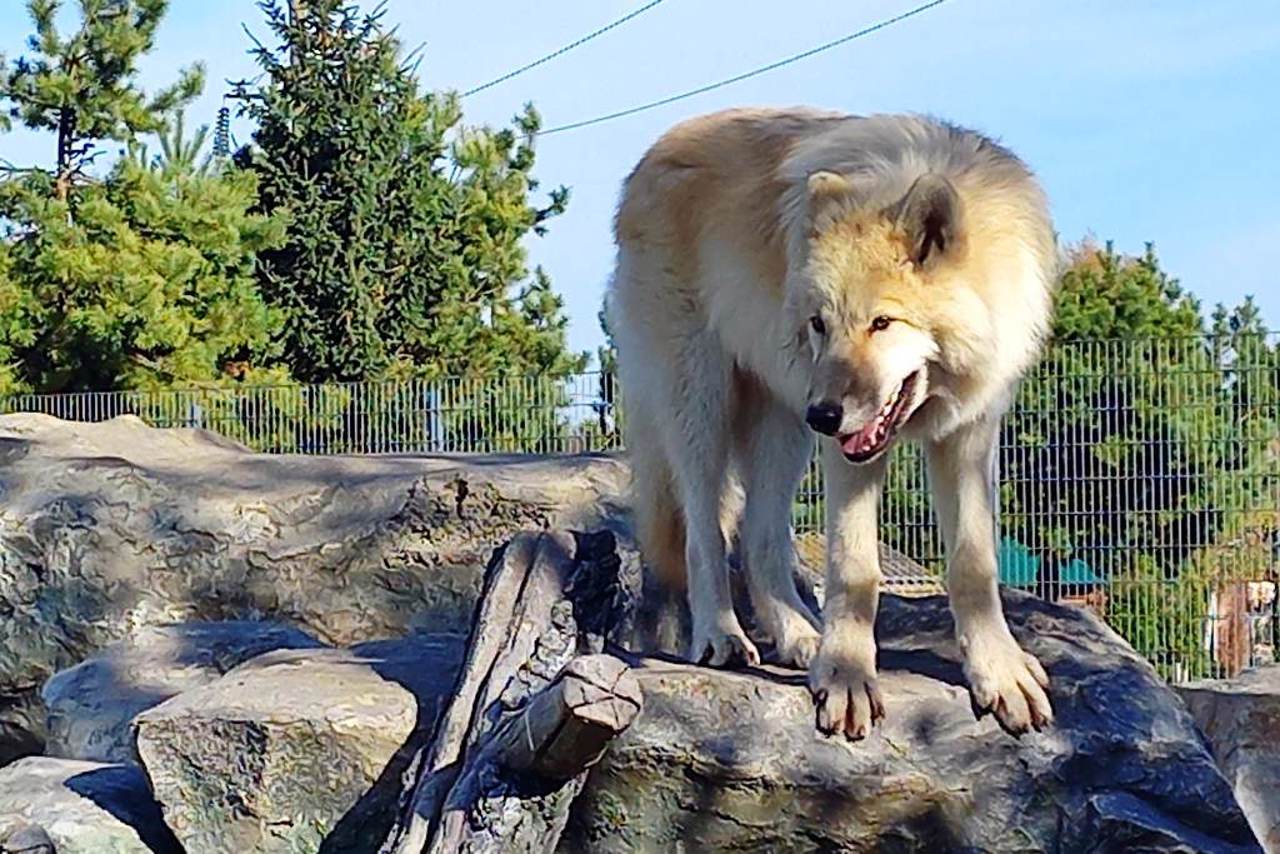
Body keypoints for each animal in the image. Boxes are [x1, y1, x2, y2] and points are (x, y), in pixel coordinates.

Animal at [609, 106, 1059, 737]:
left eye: (882, 323)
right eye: (820, 324)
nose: (824, 414)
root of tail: (654, 152)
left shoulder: (969, 435)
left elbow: (974, 565)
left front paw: (999, 673)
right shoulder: (849, 455)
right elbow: (855, 569)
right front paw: (847, 678)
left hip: (783, 427)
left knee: (760, 538)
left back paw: (800, 637)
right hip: (705, 405)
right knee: (705, 530)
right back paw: (722, 636)